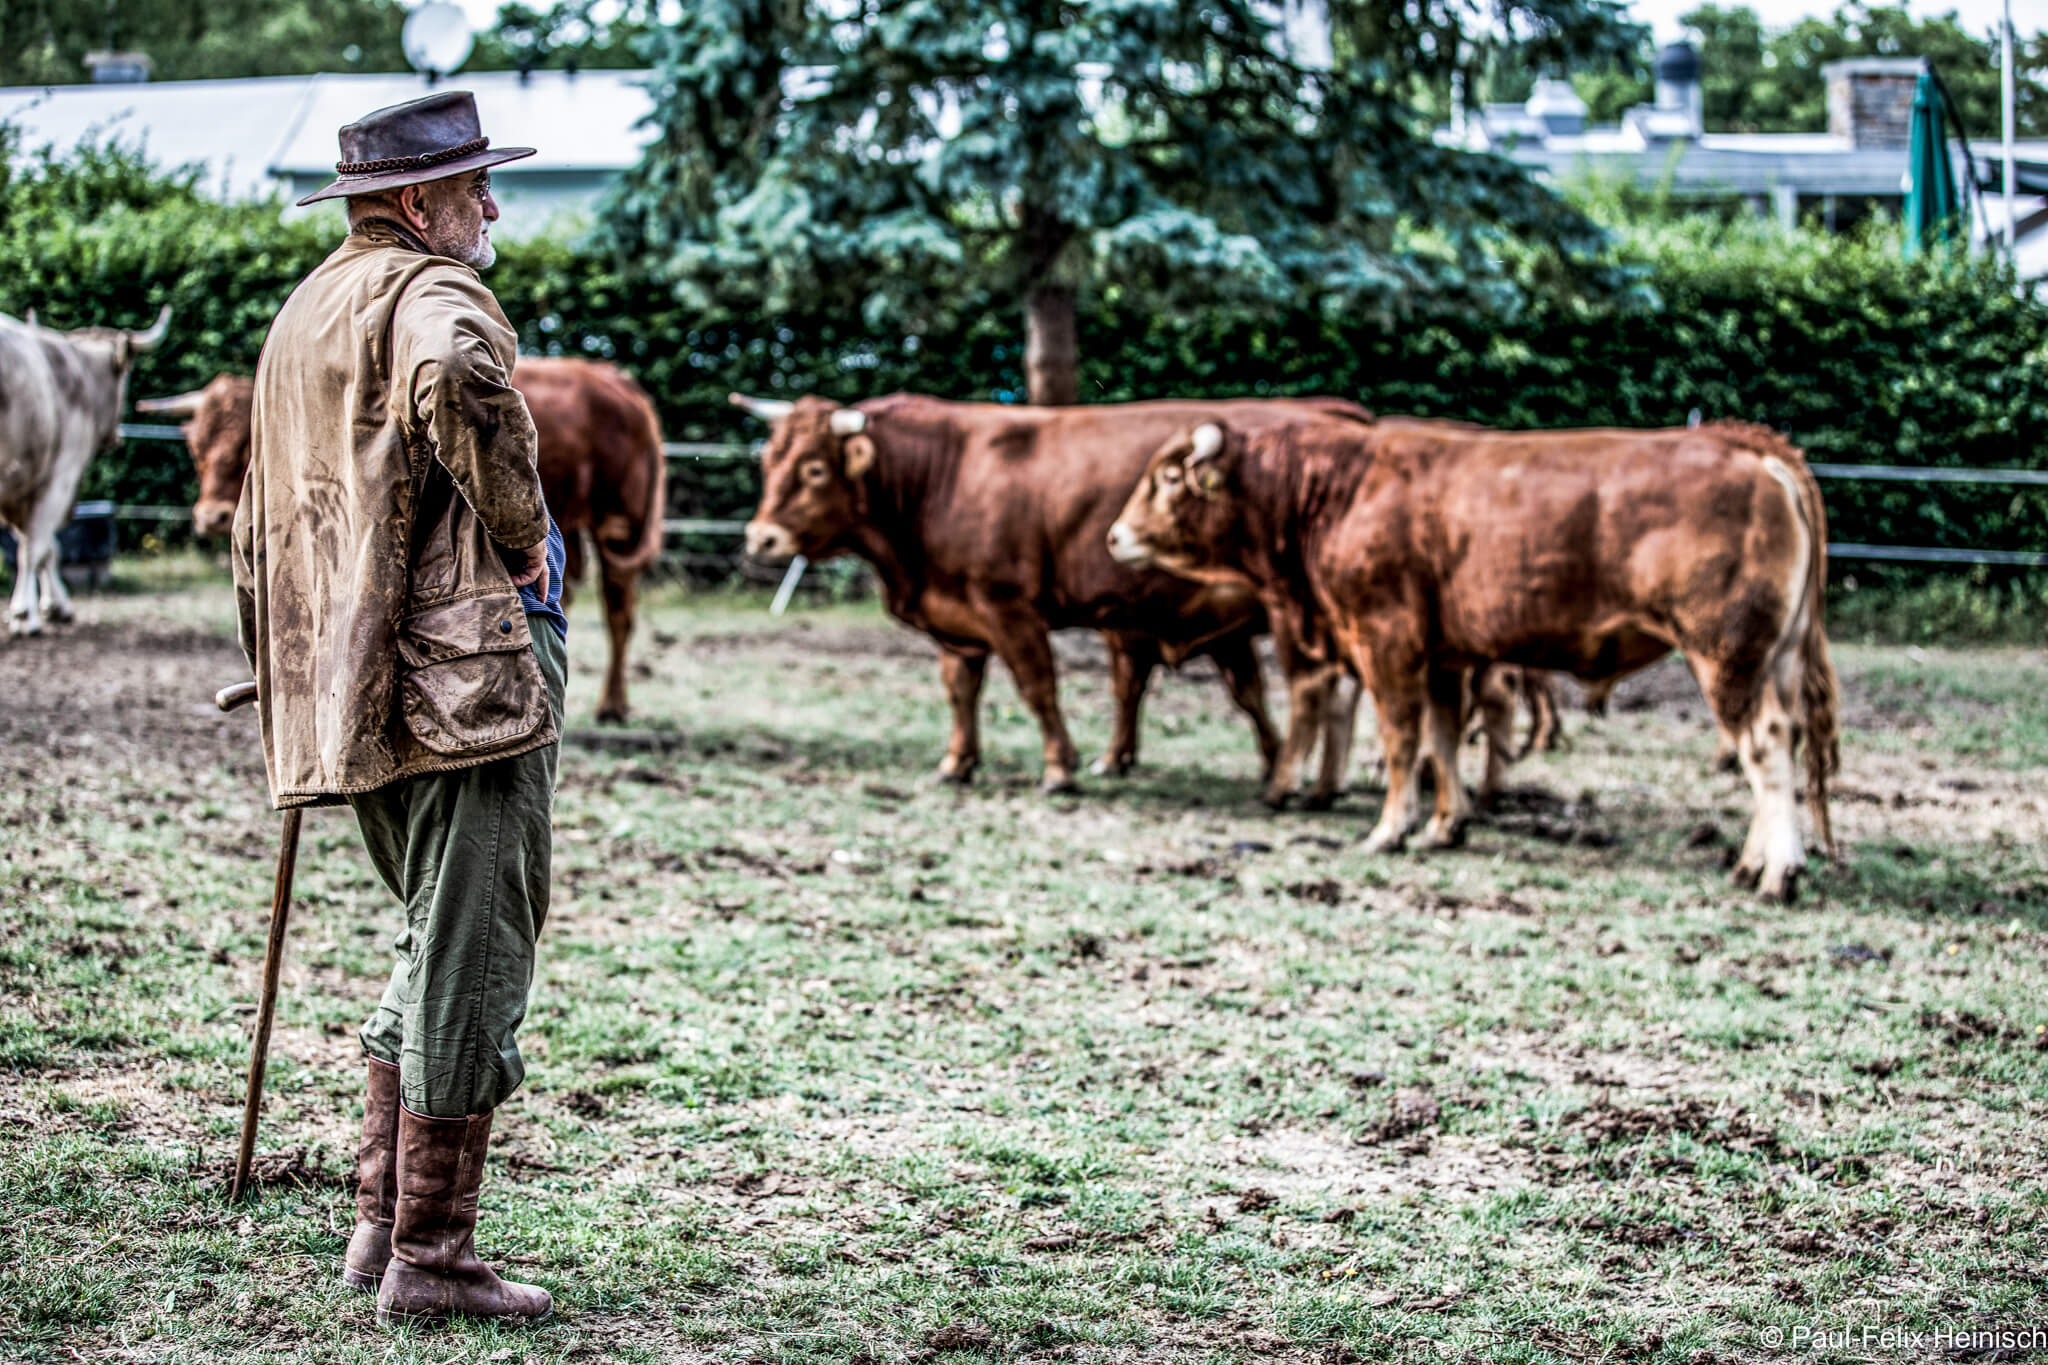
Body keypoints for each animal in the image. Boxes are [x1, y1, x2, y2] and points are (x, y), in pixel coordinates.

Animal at [0, 306, 169, 634]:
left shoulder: (25, 488)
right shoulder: (59, 478)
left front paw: (55, 606)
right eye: (125, 375)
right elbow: (35, 549)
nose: (117, 436)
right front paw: (25, 615)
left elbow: (46, 548)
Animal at [142, 356, 663, 724]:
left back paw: (612, 705)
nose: (211, 516)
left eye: (239, 447)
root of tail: (619, 383)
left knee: (618, 609)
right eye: (196, 447)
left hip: (619, 519)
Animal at [1114, 419, 1851, 908]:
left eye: (1167, 478)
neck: (1341, 489)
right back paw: (1751, 861)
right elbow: (1442, 738)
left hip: (1726, 654)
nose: (1115, 535)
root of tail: (1749, 446)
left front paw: (1390, 828)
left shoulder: (1387, 641)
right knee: (1778, 744)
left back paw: (1778, 870)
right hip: (1777, 659)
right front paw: (1446, 825)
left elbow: (1402, 738)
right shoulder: (1447, 653)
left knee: (1764, 746)